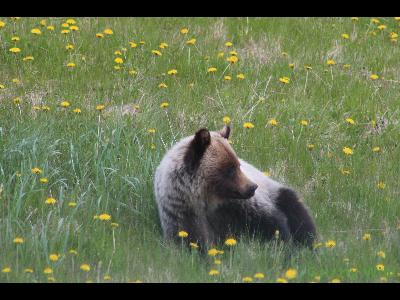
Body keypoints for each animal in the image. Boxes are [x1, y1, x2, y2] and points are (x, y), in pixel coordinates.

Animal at [155, 126, 318, 251]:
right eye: (230, 169)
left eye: (238, 164)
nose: (252, 187)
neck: (206, 199)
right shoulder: (183, 214)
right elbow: (192, 242)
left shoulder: (237, 206)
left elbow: (270, 222)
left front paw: (285, 246)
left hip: (275, 190)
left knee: (298, 213)